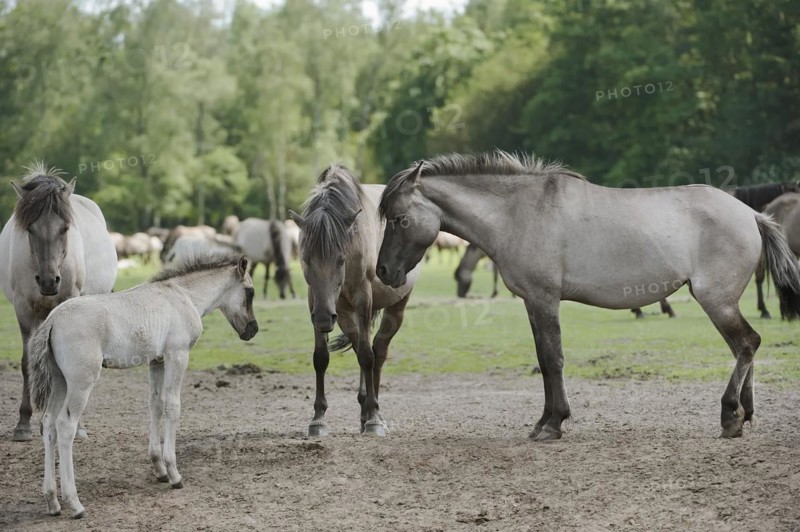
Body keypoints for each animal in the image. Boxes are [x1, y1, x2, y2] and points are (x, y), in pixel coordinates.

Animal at [0, 164, 117, 441]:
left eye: (65, 228)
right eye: (29, 229)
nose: (48, 281)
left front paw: (72, 425)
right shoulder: (23, 309)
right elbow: (27, 363)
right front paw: (23, 425)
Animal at [26, 255, 258, 519]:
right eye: (250, 292)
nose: (253, 330)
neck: (183, 295)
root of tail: (52, 320)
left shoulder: (157, 361)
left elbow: (155, 405)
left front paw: (159, 469)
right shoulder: (177, 355)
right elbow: (172, 407)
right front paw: (174, 473)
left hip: (59, 381)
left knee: (48, 424)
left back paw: (52, 501)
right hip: (81, 382)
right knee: (65, 426)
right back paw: (74, 504)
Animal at [289, 165, 421, 437]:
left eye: (341, 259)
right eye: (305, 259)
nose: (323, 319)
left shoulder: (363, 299)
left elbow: (368, 357)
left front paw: (374, 419)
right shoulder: (317, 303)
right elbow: (321, 357)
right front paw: (318, 419)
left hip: (395, 308)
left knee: (377, 352)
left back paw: (375, 413)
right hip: (344, 314)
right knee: (361, 345)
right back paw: (364, 411)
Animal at [376, 151, 800, 441]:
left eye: (399, 218)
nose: (382, 272)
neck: (518, 213)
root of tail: (752, 215)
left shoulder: (545, 300)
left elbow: (554, 359)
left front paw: (554, 423)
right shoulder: (532, 303)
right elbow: (544, 361)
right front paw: (544, 421)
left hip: (717, 301)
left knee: (747, 343)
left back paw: (729, 416)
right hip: (720, 302)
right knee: (744, 348)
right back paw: (744, 414)